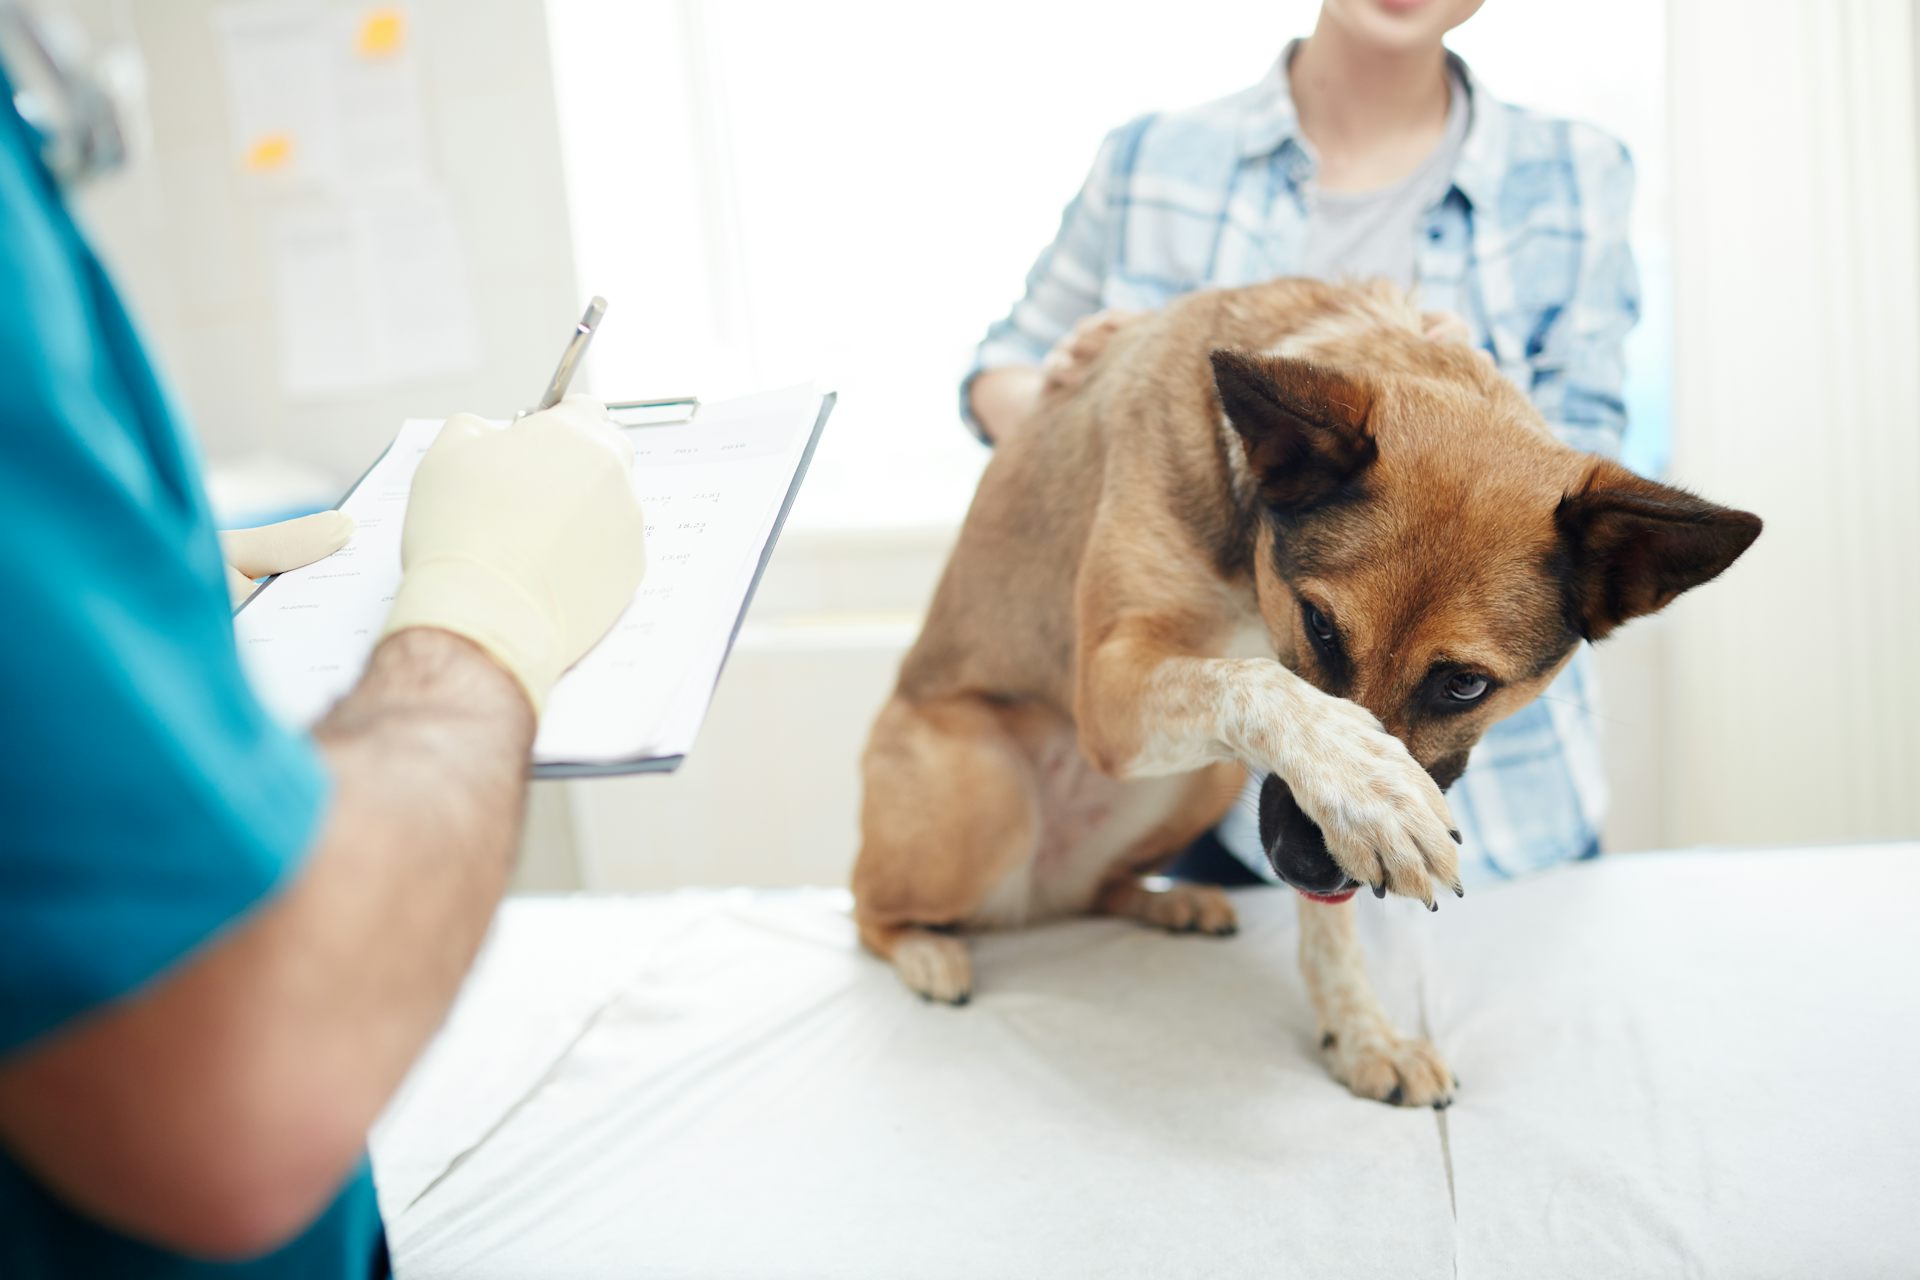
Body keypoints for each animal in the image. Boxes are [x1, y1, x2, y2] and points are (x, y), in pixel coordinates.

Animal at [852, 280, 1758, 1113]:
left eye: (1466, 684)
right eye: (1320, 626)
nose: (1300, 863)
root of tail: (1036, 898)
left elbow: (1332, 926)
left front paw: (1362, 1033)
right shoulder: (1107, 690)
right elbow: (1260, 685)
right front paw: (1368, 789)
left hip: (1199, 780)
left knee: (1094, 891)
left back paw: (1163, 903)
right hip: (988, 791)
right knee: (867, 911)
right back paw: (927, 950)